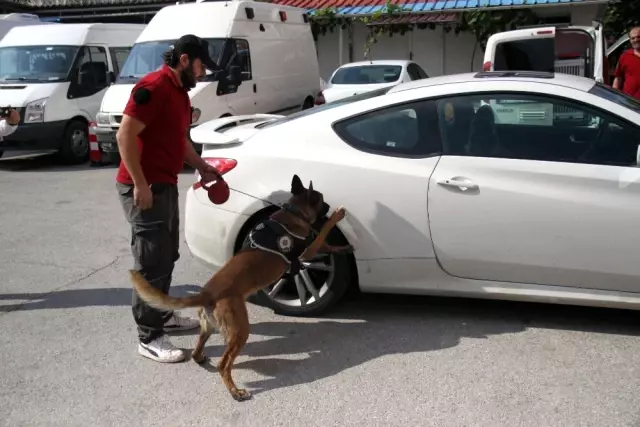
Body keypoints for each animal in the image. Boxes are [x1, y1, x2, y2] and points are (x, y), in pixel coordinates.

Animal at [129, 174, 350, 402]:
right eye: (321, 199)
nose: (329, 205)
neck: (293, 212)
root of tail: (207, 293)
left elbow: (326, 243)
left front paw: (341, 247)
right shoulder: (307, 251)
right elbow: (323, 234)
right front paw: (336, 216)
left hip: (210, 327)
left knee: (198, 351)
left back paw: (201, 359)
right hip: (240, 331)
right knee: (223, 365)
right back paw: (235, 391)